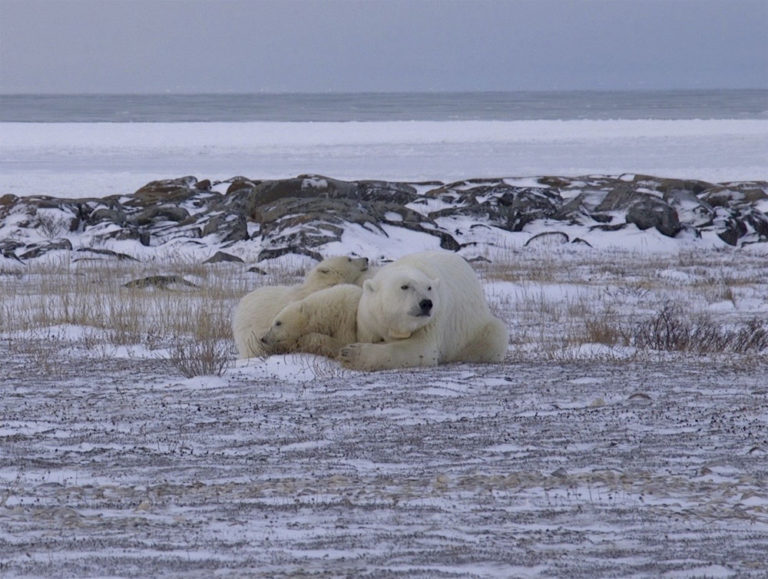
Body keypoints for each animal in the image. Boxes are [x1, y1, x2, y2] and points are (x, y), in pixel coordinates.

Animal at [340, 250, 508, 372]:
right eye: (404, 286)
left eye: (429, 287)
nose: (426, 303)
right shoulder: (370, 319)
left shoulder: (433, 320)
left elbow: (420, 349)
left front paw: (350, 354)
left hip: (476, 327)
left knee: (495, 335)